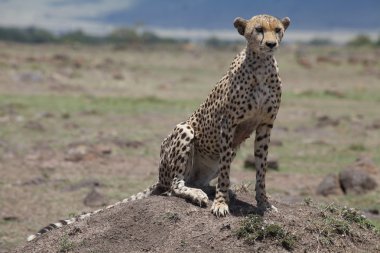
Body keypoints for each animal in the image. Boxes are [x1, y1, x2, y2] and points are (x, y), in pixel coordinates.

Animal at [27, 14, 290, 241]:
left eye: (278, 29)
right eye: (258, 29)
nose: (271, 43)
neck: (261, 64)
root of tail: (160, 176)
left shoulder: (266, 125)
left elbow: (261, 170)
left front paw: (264, 203)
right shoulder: (228, 124)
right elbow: (226, 173)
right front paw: (221, 203)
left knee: (188, 181)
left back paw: (206, 188)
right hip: (184, 131)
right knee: (174, 185)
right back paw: (199, 194)